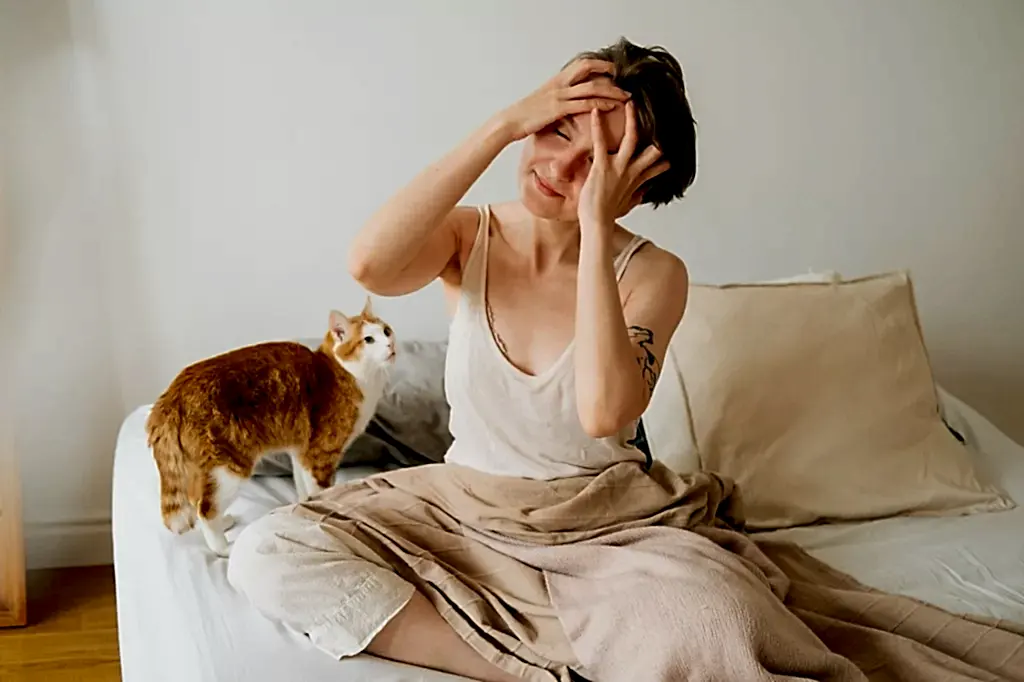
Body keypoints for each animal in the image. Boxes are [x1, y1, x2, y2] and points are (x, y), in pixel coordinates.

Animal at [146, 301, 393, 557]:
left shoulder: (301, 452)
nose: (390, 345)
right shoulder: (321, 454)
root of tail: (171, 395)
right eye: (368, 340)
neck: (347, 374)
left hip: (203, 467)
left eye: (386, 331)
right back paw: (223, 548)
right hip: (228, 467)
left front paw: (304, 509)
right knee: (205, 509)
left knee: (195, 498)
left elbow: (303, 488)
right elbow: (321, 490)